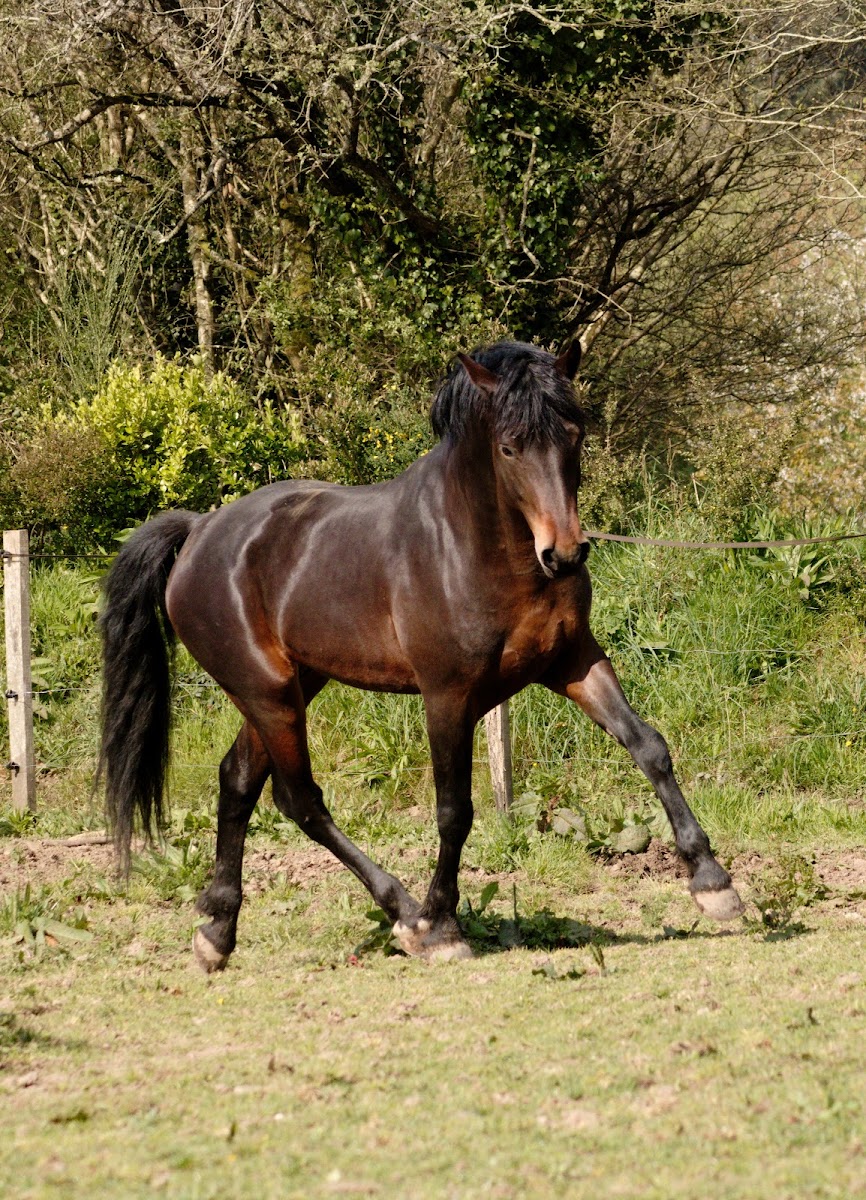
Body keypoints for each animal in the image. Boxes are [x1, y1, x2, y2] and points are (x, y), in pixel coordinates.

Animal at [98, 339, 743, 971]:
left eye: (574, 434)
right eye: (509, 447)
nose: (564, 554)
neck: (480, 550)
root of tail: (200, 531)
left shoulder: (573, 662)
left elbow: (648, 746)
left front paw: (713, 883)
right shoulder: (448, 696)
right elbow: (454, 809)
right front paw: (442, 924)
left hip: (291, 686)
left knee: (238, 782)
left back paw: (217, 932)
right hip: (266, 692)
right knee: (298, 799)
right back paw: (405, 915)